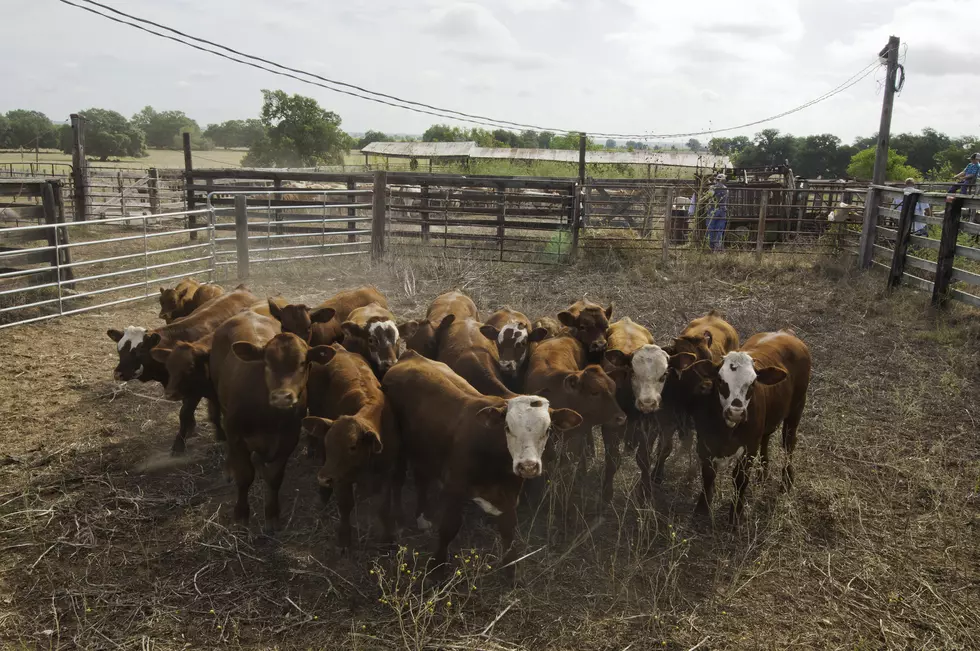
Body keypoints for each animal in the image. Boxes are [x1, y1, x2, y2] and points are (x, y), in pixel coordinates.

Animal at [106, 288, 256, 456]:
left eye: (139, 350)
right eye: (119, 349)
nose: (118, 373)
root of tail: (242, 290)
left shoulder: (195, 390)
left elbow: (184, 413)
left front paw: (179, 444)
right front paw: (191, 427)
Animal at [209, 314, 334, 532]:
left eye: (303, 362)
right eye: (266, 362)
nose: (282, 397)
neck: (268, 417)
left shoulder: (288, 438)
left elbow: (275, 477)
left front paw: (273, 514)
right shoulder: (235, 433)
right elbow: (244, 476)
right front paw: (241, 514)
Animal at [304, 346, 400, 552]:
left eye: (353, 446)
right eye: (328, 443)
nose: (324, 478)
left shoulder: (387, 472)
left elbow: (384, 506)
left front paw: (387, 539)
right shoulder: (341, 477)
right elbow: (345, 505)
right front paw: (344, 540)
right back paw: (322, 496)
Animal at [382, 352, 580, 580]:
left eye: (548, 429)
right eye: (507, 427)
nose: (528, 466)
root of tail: (410, 355)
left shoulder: (510, 493)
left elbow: (508, 529)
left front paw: (510, 569)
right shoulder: (455, 487)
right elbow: (449, 527)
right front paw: (437, 567)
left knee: (421, 477)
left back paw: (422, 517)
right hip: (401, 448)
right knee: (397, 479)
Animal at [684, 332, 808, 524]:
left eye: (753, 382)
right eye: (720, 380)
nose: (736, 412)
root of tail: (786, 333)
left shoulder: (749, 448)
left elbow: (740, 480)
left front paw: (735, 514)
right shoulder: (705, 443)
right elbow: (708, 474)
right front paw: (702, 508)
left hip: (796, 409)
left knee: (788, 444)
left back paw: (786, 480)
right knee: (766, 437)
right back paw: (763, 472)